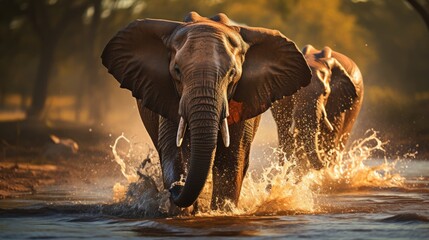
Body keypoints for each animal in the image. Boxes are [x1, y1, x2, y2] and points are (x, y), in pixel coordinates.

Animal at [102, 11, 310, 210]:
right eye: (177, 70)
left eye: (232, 73)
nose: (176, 188)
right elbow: (172, 153)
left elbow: (231, 161)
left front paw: (222, 212)